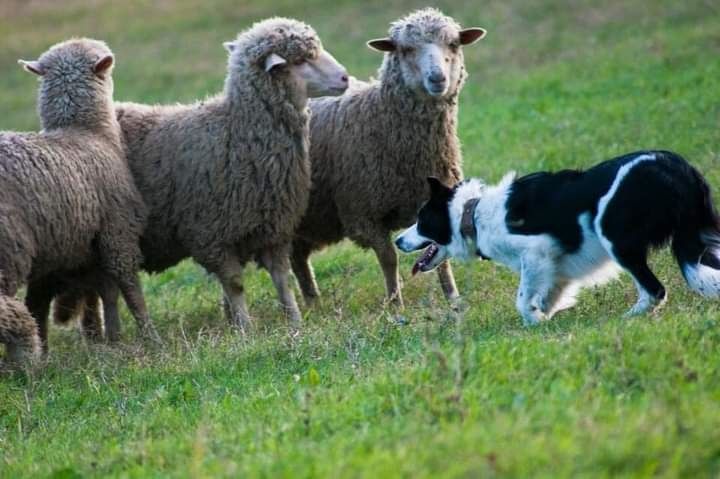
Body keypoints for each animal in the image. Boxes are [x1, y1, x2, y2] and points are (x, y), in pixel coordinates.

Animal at [1, 39, 156, 350]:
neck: (87, 132)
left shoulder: (58, 250)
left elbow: (44, 301)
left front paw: (110, 339)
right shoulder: (117, 233)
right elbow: (130, 288)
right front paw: (149, 337)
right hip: (10, 249)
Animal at [45, 19, 348, 334]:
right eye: (301, 60)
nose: (345, 78)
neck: (236, 130)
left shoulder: (273, 227)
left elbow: (282, 279)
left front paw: (294, 321)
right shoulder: (209, 233)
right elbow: (235, 284)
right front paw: (245, 328)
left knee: (106, 288)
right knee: (106, 289)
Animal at [290, 9, 486, 310]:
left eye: (453, 44)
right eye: (406, 49)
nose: (437, 78)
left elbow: (440, 255)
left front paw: (453, 298)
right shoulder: (364, 213)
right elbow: (389, 259)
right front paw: (395, 304)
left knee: (297, 257)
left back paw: (313, 303)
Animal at [394, 152, 720, 326]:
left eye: (421, 221)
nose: (397, 241)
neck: (472, 215)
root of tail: (680, 167)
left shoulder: (536, 251)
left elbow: (522, 299)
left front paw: (535, 321)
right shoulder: (556, 265)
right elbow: (548, 294)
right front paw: (545, 315)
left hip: (614, 233)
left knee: (655, 290)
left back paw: (628, 317)